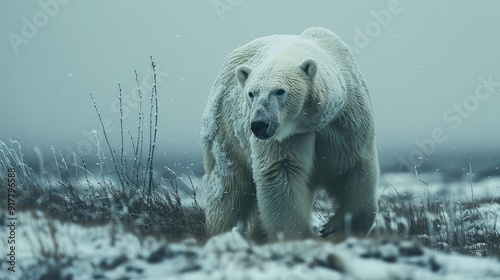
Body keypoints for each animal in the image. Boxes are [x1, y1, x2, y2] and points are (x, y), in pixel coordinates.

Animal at [201, 26, 376, 242]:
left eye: (279, 91)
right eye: (251, 93)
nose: (259, 125)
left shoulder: (345, 122)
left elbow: (353, 168)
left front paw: (334, 228)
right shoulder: (286, 137)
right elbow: (281, 173)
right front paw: (306, 236)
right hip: (226, 131)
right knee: (228, 189)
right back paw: (221, 233)